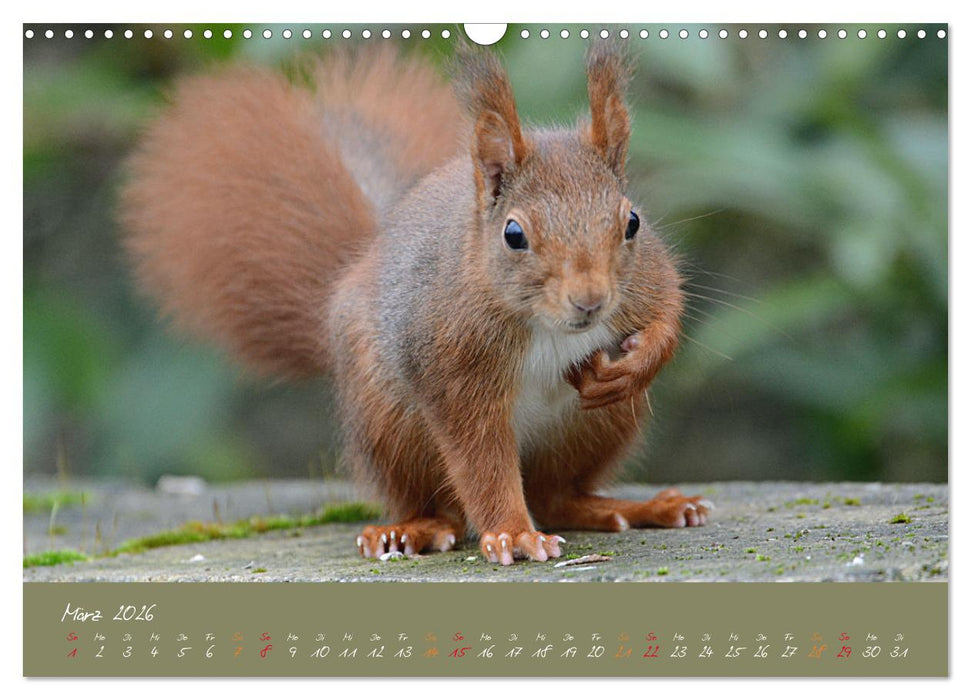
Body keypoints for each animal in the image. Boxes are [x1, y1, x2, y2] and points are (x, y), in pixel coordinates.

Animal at [120, 42, 712, 566]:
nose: (590, 301)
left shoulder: (646, 279)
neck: (543, 324)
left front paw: (638, 363)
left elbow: (669, 308)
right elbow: (479, 458)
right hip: (390, 424)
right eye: (514, 234)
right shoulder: (452, 364)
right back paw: (410, 530)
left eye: (632, 221)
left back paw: (638, 508)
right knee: (444, 503)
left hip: (595, 427)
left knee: (557, 495)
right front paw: (513, 535)